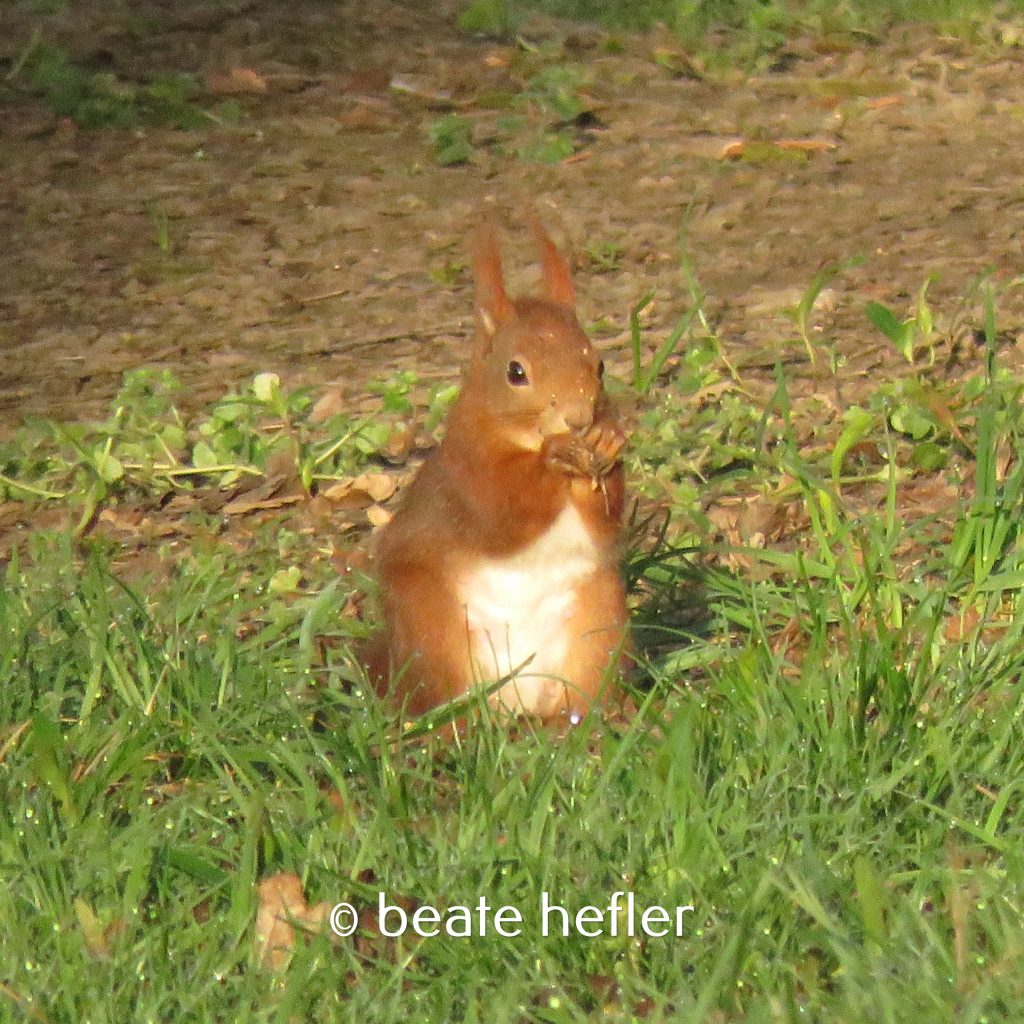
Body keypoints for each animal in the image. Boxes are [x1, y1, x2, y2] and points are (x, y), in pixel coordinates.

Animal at [365, 217, 628, 724]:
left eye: (600, 365)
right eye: (515, 372)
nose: (579, 420)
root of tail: (518, 705)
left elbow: (606, 518)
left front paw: (607, 440)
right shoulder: (467, 469)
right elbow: (500, 511)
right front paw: (555, 454)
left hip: (598, 622)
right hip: (434, 628)